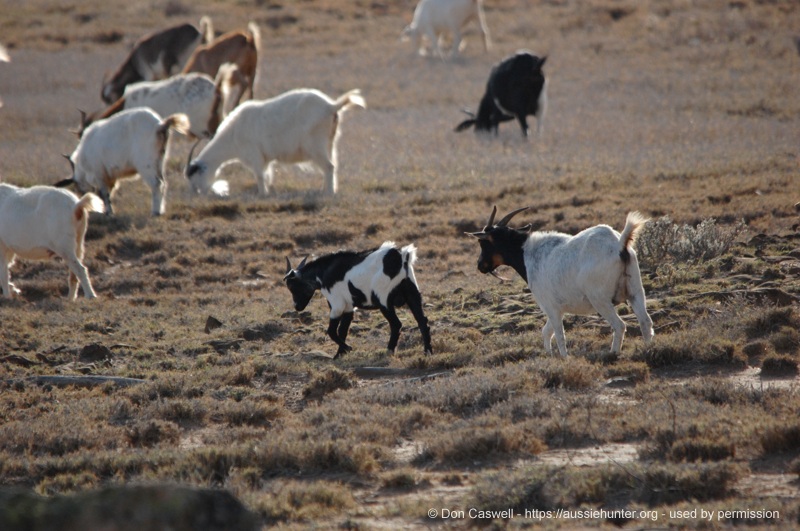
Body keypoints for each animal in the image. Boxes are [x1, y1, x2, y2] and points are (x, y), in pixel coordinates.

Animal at [59, 108, 191, 216]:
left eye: (76, 185)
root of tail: (160, 126)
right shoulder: (110, 177)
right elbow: (108, 192)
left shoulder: (99, 174)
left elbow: (104, 193)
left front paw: (109, 213)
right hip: (159, 161)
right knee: (163, 183)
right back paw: (161, 210)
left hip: (146, 164)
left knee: (157, 183)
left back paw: (155, 212)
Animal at [186, 89, 364, 197]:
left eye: (195, 176)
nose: (198, 194)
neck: (233, 134)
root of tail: (330, 106)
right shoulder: (266, 159)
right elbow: (267, 175)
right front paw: (269, 192)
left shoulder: (255, 156)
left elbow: (259, 175)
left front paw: (262, 195)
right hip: (329, 144)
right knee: (331, 167)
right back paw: (325, 189)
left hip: (316, 146)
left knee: (329, 167)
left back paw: (329, 194)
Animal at [282, 243, 432, 360]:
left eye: (293, 287)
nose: (297, 307)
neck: (324, 273)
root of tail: (401, 257)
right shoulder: (348, 307)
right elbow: (342, 330)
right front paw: (339, 354)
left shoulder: (337, 305)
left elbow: (332, 331)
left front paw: (347, 349)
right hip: (412, 294)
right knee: (422, 321)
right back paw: (427, 352)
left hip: (383, 300)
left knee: (396, 324)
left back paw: (389, 350)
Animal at [468, 208, 656, 358]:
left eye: (483, 242)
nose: (480, 265)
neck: (528, 253)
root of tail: (619, 245)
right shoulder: (558, 309)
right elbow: (546, 332)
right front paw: (550, 355)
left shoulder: (550, 307)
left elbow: (559, 335)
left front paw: (564, 358)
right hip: (635, 292)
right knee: (645, 321)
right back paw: (647, 350)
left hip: (600, 300)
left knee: (619, 325)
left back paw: (612, 354)